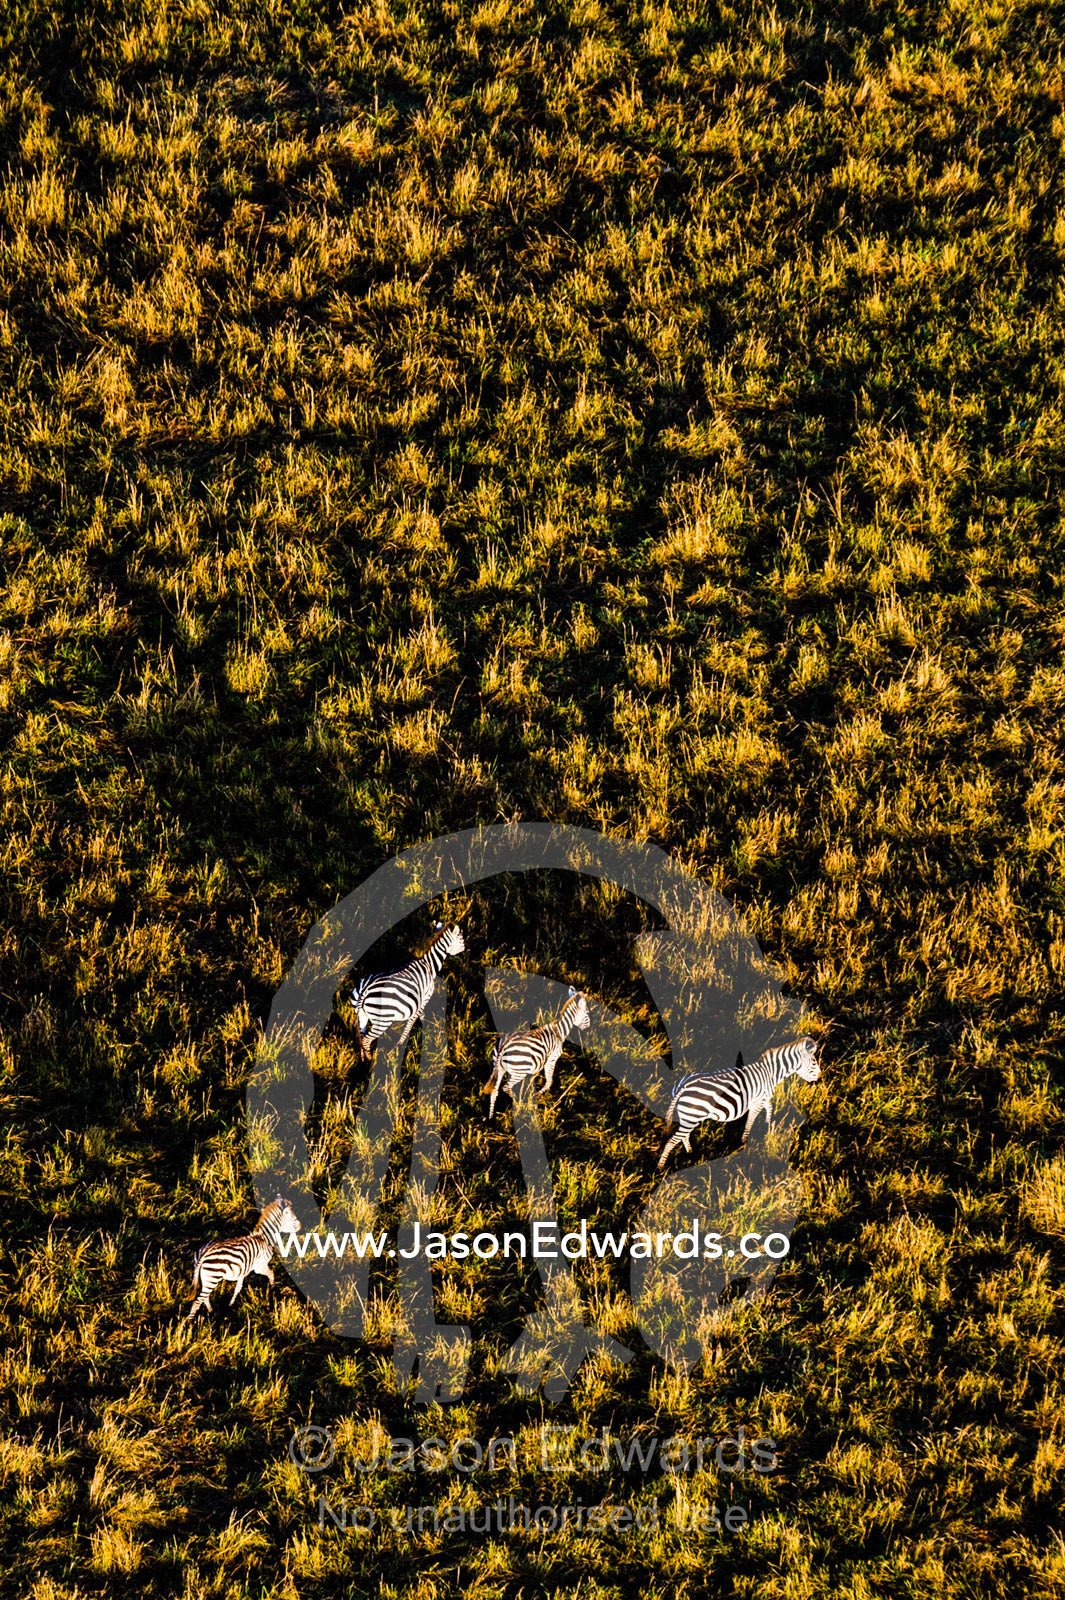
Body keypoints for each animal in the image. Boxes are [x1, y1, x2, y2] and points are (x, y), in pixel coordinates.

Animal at [350, 921, 465, 1063]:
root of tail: (365, 991)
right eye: (461, 938)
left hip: (362, 1015)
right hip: (382, 1020)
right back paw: (370, 1060)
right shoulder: (424, 998)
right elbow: (411, 1022)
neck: (429, 965)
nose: (465, 949)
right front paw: (400, 1045)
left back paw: (363, 1060)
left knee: (362, 1036)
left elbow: (421, 1017)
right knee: (366, 1039)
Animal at [485, 987, 590, 1119]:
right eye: (587, 1013)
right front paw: (539, 1096)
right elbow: (549, 1081)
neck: (560, 1030)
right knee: (506, 1088)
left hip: (498, 1068)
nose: (589, 1029)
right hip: (518, 1072)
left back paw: (491, 1117)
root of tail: (503, 1047)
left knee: (495, 1090)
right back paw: (519, 1104)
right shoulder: (552, 1059)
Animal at [657, 1036, 821, 1169]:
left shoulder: (761, 1098)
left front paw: (768, 1126)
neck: (770, 1073)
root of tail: (684, 1086)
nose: (820, 1077)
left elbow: (769, 1107)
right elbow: (750, 1121)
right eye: (814, 1063)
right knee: (672, 1141)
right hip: (692, 1116)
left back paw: (690, 1152)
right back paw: (661, 1167)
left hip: (687, 1117)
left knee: (683, 1136)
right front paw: (743, 1142)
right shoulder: (756, 1103)